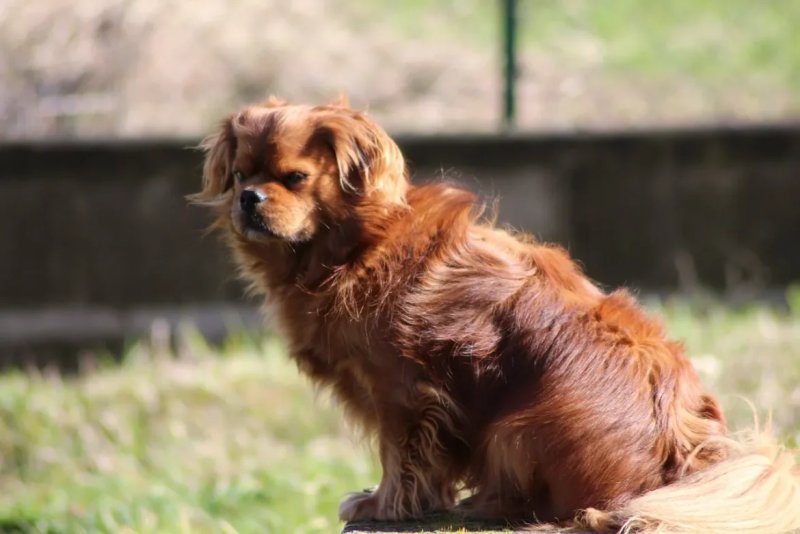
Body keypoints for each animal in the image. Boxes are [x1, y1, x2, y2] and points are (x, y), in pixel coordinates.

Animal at [192, 98, 800, 532]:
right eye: (241, 174)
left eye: (293, 178)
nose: (249, 199)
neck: (355, 246)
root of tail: (686, 456)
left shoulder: (402, 388)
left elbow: (401, 456)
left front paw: (383, 505)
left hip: (513, 427)